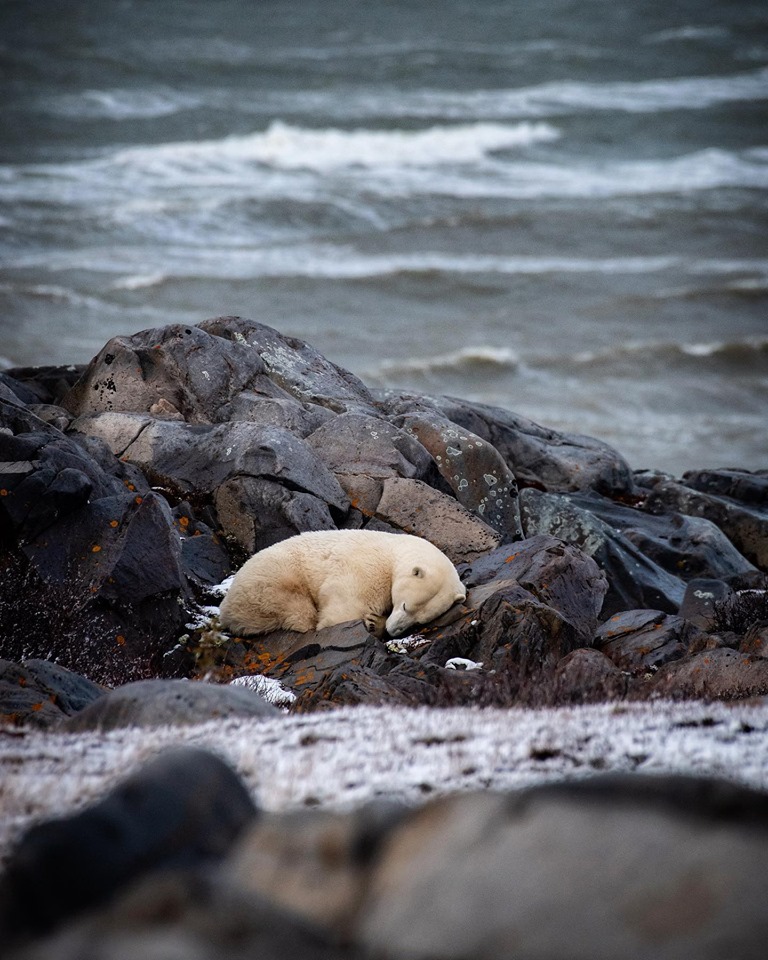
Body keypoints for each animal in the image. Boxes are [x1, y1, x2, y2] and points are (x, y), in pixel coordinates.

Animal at [218, 529, 466, 639]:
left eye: (419, 622)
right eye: (406, 605)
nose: (393, 630)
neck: (395, 551)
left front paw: (375, 622)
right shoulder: (367, 569)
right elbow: (344, 610)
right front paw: (372, 623)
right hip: (272, 578)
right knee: (295, 606)